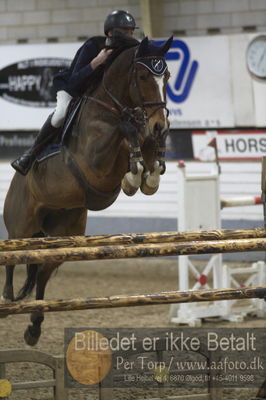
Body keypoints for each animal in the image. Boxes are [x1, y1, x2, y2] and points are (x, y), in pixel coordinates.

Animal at [1, 36, 172, 346]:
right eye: (143, 77)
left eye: (166, 77)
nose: (159, 124)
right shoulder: (95, 160)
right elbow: (125, 131)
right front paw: (134, 172)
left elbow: (147, 151)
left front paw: (147, 174)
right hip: (22, 226)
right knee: (13, 256)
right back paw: (7, 300)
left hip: (62, 235)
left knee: (41, 273)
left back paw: (34, 327)